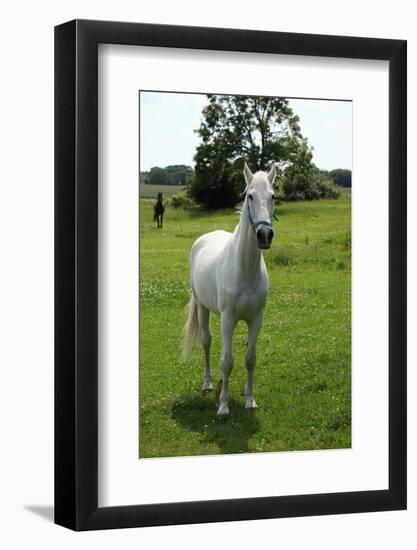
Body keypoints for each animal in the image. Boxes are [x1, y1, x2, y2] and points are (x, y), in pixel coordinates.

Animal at [182, 164, 276, 418]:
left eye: (273, 196)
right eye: (249, 196)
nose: (264, 235)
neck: (245, 269)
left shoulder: (257, 318)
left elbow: (250, 359)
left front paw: (250, 399)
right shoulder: (228, 318)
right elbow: (227, 361)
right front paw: (223, 406)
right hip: (203, 308)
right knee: (207, 341)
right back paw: (208, 383)